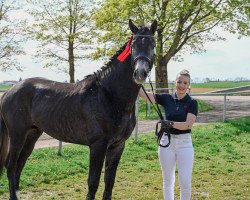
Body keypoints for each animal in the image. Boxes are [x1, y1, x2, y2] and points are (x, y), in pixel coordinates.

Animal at [0, 19, 156, 200]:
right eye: (134, 45)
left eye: (153, 45)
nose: (140, 73)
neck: (108, 95)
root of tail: (9, 91)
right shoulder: (98, 145)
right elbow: (93, 182)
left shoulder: (118, 146)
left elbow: (109, 181)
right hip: (17, 135)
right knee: (11, 165)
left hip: (32, 134)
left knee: (20, 164)